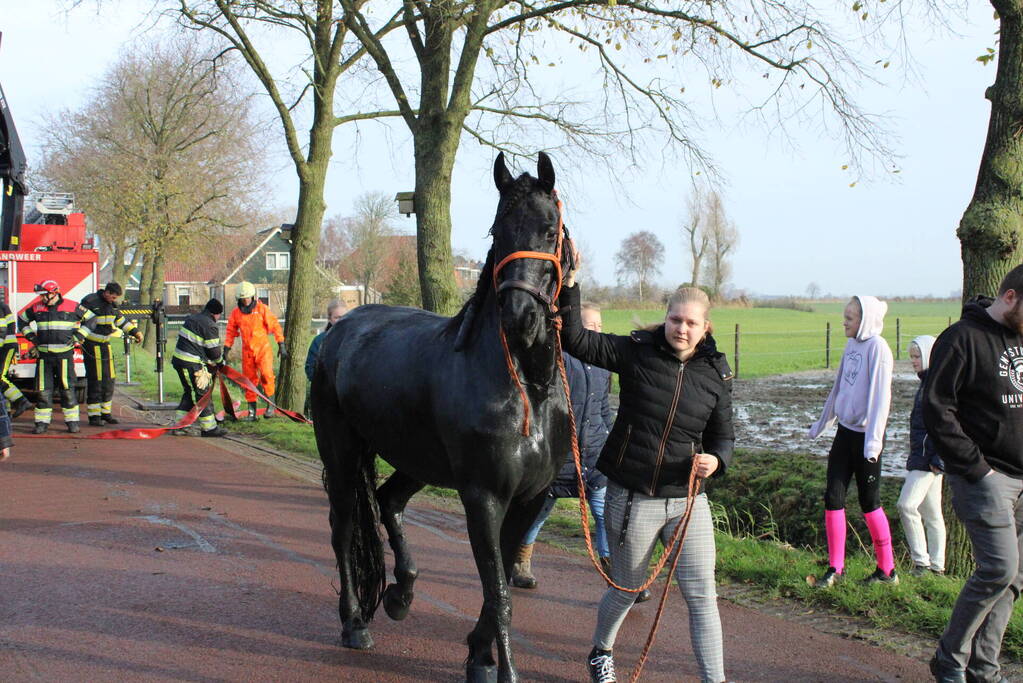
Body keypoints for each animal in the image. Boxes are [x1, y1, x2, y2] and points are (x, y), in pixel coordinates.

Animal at [311, 152, 573, 683]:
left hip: (417, 460)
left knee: (388, 500)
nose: (519, 317)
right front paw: (497, 668)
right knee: (343, 528)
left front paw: (478, 655)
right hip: (343, 455)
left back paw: (401, 593)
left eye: (549, 227)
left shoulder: (528, 499)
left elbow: (500, 589)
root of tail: (337, 329)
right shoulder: (483, 497)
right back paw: (354, 623)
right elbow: (499, 596)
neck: (527, 388)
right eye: (497, 229)